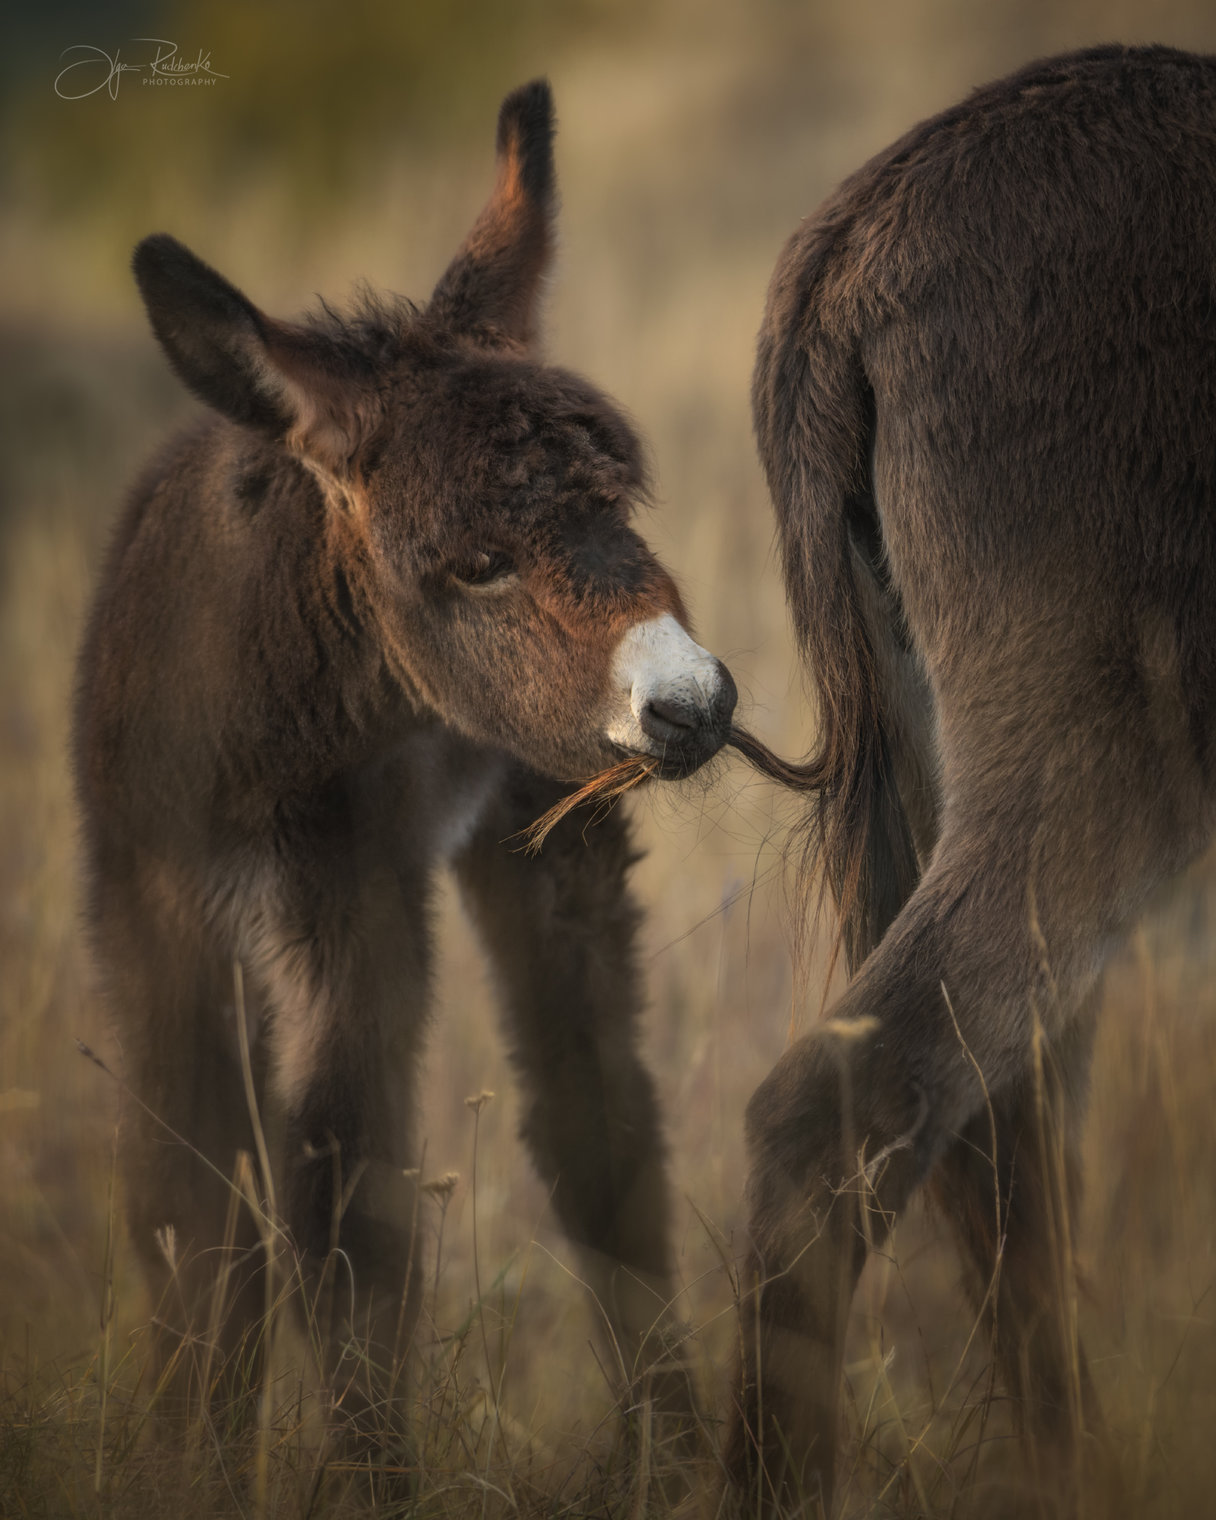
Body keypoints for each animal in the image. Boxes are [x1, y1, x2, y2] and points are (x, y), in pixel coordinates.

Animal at [78, 80, 741, 1471]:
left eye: (618, 505)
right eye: (476, 562)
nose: (694, 703)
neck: (251, 720)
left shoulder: (356, 893)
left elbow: (346, 1196)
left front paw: (365, 1473)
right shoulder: (153, 905)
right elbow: (189, 1200)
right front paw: (184, 1452)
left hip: (537, 832)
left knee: (591, 1111)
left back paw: (668, 1448)